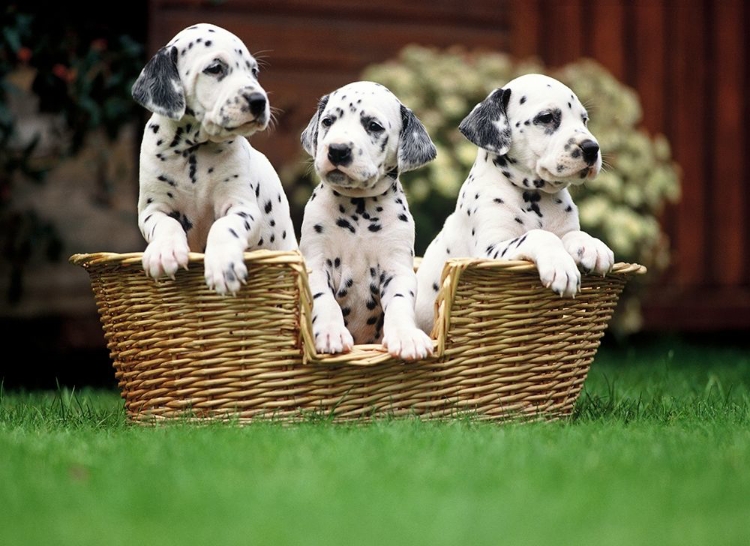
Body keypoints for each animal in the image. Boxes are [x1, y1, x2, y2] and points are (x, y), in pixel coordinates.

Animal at [132, 22, 296, 294]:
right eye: (215, 68)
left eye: (254, 71)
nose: (259, 101)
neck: (194, 149)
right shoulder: (152, 209)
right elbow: (165, 224)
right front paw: (164, 252)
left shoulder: (242, 207)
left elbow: (224, 227)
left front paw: (223, 265)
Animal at [302, 81, 440, 360]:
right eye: (328, 121)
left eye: (374, 126)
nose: (338, 150)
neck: (358, 210)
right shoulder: (316, 265)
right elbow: (324, 301)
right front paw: (331, 333)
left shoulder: (397, 270)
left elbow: (399, 303)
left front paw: (406, 336)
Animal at [418, 73, 616, 332]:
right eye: (547, 117)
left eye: (584, 120)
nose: (592, 148)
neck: (534, 196)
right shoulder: (489, 252)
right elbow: (538, 235)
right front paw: (561, 266)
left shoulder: (565, 229)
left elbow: (573, 234)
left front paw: (592, 245)